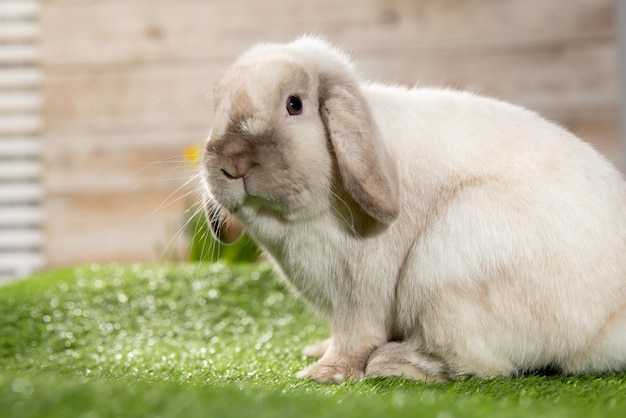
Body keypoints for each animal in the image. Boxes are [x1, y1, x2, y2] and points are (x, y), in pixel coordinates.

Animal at [200, 36, 624, 382]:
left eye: (294, 105)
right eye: (217, 106)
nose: (233, 164)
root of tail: (609, 325)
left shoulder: (358, 293)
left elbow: (355, 337)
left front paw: (324, 373)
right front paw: (316, 351)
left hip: (445, 277)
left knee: (478, 365)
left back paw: (392, 364)